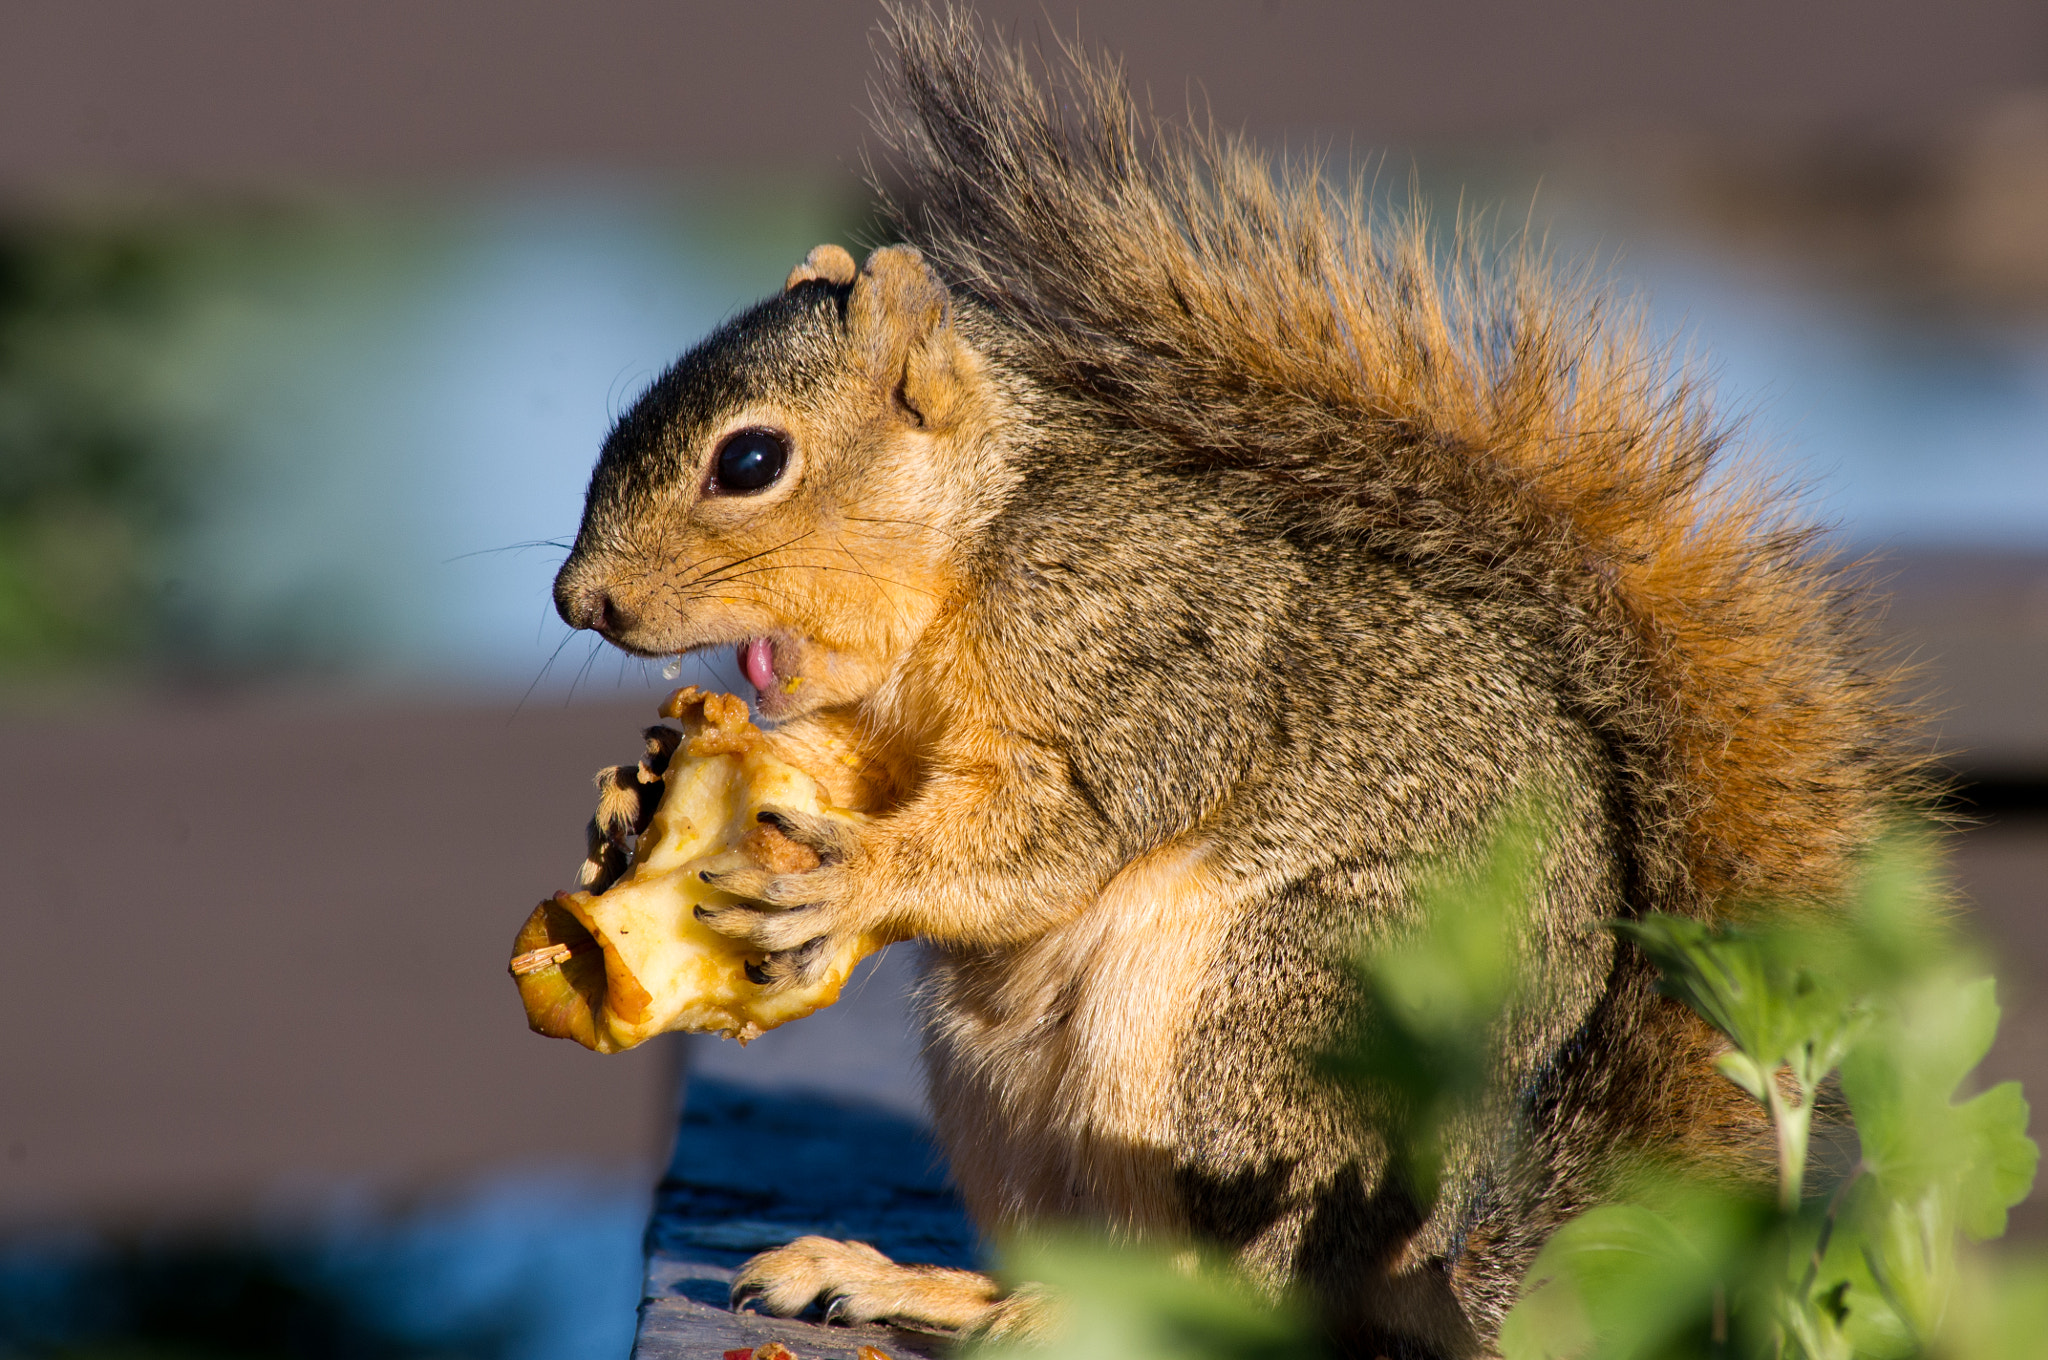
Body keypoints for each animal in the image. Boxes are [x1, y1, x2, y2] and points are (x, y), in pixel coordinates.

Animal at [548, 5, 1916, 1351]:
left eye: (750, 461)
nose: (578, 602)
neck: (973, 542)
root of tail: (1434, 1270)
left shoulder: (1139, 662)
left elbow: (1048, 831)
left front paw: (852, 877)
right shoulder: (891, 718)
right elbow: (854, 765)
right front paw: (638, 792)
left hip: (1269, 1025)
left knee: (1239, 1290)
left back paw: (1050, 1312)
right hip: (1007, 1087)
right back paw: (923, 1283)